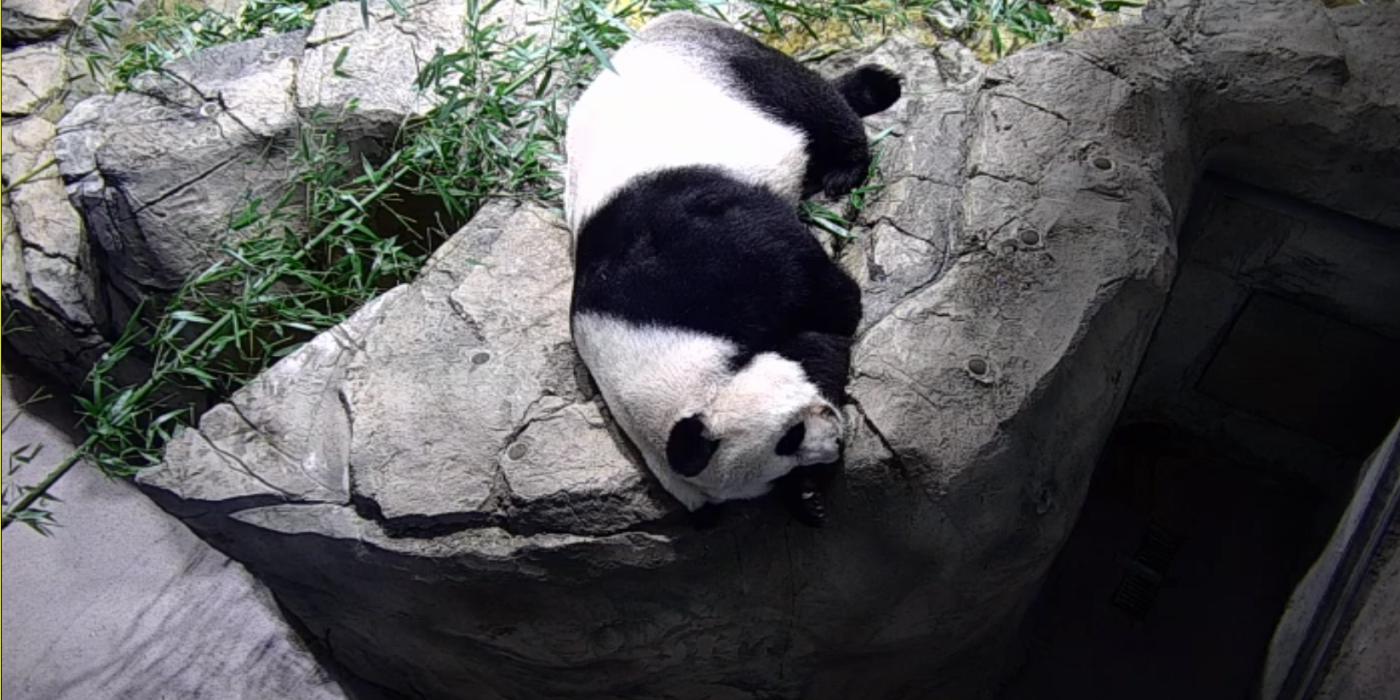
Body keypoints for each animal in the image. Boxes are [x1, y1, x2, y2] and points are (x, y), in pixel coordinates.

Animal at [562, 12, 901, 526]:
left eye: (788, 438)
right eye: (783, 463)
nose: (835, 445)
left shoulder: (679, 261)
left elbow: (786, 267)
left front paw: (839, 307)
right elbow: (812, 347)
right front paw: (807, 498)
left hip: (738, 73)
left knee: (814, 104)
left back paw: (851, 150)